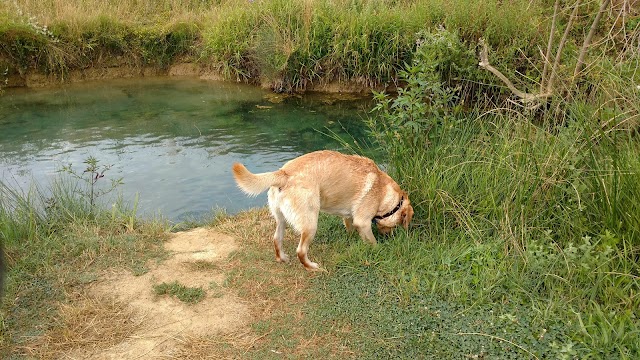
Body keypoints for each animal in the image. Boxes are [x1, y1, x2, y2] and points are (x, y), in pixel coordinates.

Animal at [232, 149, 412, 270]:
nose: (388, 237)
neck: (384, 191)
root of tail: (284, 173)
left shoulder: (348, 217)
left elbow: (350, 228)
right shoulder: (363, 222)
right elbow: (372, 241)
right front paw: (379, 249)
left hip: (281, 219)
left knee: (277, 239)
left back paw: (282, 258)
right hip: (311, 224)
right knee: (301, 251)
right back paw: (312, 267)